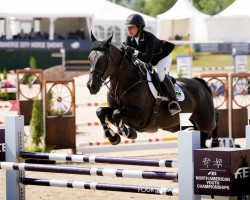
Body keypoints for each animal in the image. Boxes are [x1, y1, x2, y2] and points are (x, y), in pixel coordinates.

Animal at [86, 32, 219, 148]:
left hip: (204, 121)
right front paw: (114, 137)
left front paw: (127, 132)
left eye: (104, 59)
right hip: (180, 124)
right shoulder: (115, 109)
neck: (124, 84)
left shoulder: (141, 116)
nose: (91, 86)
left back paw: (216, 142)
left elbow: (117, 114)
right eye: (89, 58)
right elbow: (101, 112)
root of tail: (198, 83)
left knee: (214, 122)